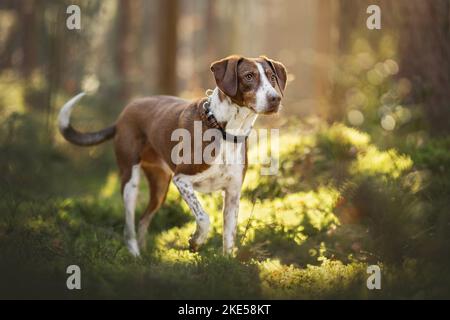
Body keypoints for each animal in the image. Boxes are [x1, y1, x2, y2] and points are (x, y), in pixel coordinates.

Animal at [58, 54, 286, 255]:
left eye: (272, 77)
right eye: (248, 76)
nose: (275, 98)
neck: (224, 129)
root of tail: (122, 117)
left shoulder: (232, 194)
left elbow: (229, 239)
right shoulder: (182, 179)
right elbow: (204, 218)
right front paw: (196, 241)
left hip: (160, 186)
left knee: (143, 220)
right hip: (130, 181)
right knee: (129, 226)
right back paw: (134, 255)